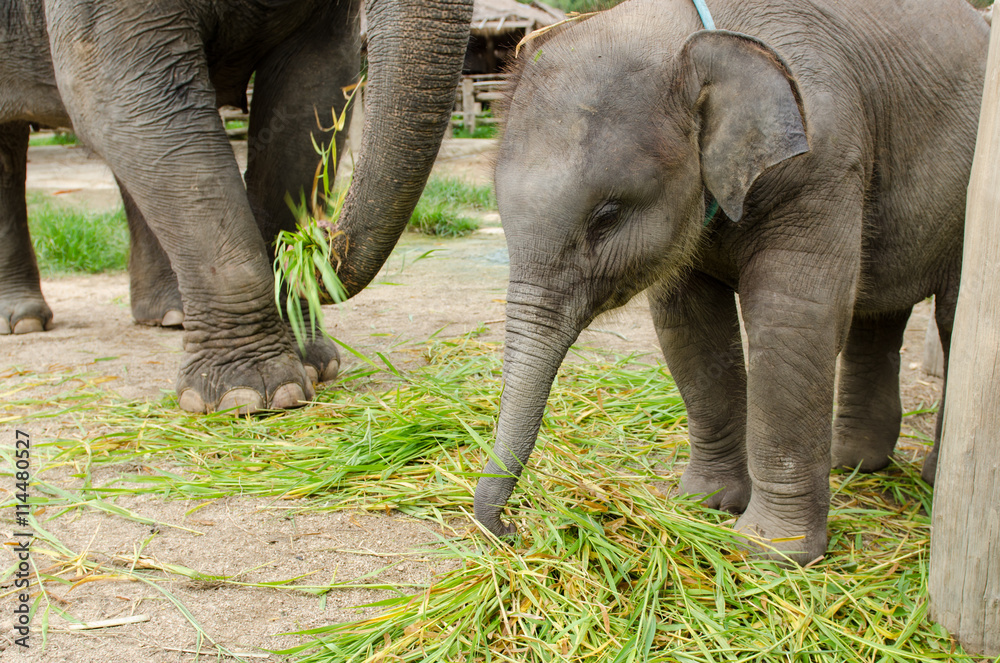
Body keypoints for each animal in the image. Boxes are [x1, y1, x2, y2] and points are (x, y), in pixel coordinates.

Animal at [0, 0, 473, 412]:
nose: (318, 242)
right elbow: (123, 95)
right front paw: (253, 395)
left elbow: (310, 95)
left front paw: (314, 363)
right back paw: (23, 321)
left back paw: (171, 314)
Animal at [473, 0, 989, 564]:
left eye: (606, 217)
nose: (510, 530)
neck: (692, 34)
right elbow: (687, 326)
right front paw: (705, 504)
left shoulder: (822, 163)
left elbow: (792, 320)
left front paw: (772, 553)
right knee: (876, 317)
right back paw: (853, 465)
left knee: (953, 317)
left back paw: (929, 478)